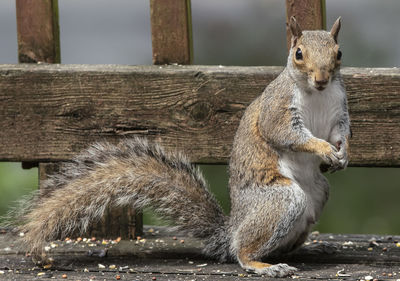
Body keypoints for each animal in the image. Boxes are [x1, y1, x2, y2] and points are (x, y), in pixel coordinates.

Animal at [7, 16, 350, 276]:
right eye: (299, 54)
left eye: (339, 53)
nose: (322, 79)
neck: (316, 94)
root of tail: (231, 231)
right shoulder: (277, 109)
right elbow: (285, 134)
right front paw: (322, 149)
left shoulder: (338, 112)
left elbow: (341, 133)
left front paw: (342, 153)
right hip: (280, 200)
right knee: (243, 251)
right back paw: (262, 264)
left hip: (317, 194)